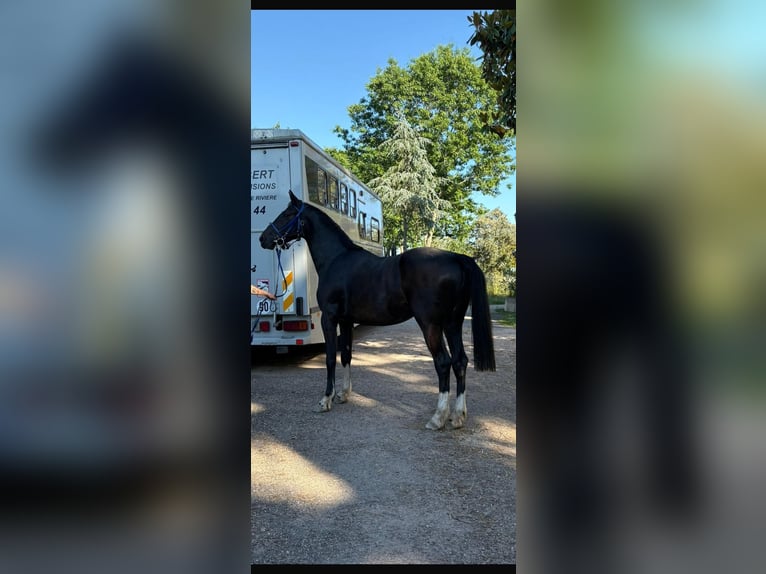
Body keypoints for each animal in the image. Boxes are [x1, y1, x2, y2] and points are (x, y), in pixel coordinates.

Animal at [259, 190, 496, 430]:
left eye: (287, 214)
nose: (263, 238)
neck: (336, 260)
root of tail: (455, 257)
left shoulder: (329, 318)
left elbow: (330, 358)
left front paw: (325, 400)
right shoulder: (346, 320)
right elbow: (346, 355)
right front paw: (343, 394)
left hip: (430, 324)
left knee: (443, 362)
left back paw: (438, 418)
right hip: (452, 323)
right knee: (460, 361)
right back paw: (457, 416)